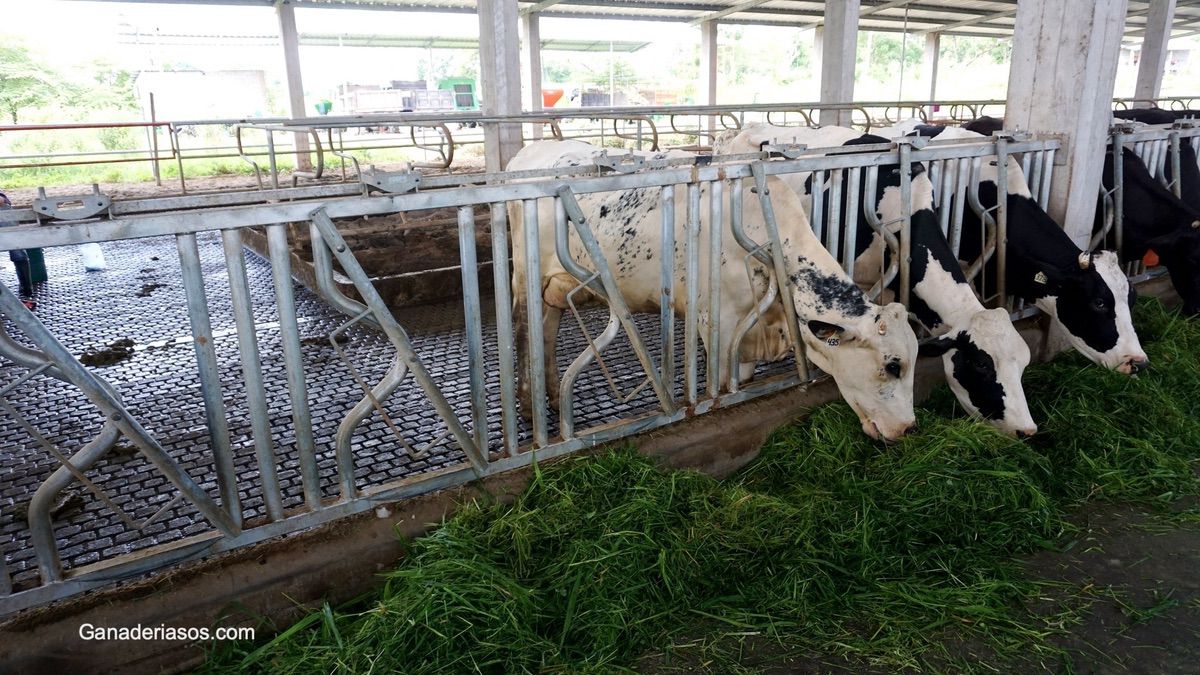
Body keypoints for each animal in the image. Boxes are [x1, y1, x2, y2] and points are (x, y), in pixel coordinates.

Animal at [506, 139, 916, 439]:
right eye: (893, 365)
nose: (909, 428)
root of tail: (526, 153)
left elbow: (743, 376)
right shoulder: (716, 319)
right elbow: (719, 380)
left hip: (557, 286)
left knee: (548, 332)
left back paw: (553, 398)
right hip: (525, 277)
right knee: (526, 333)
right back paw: (528, 405)